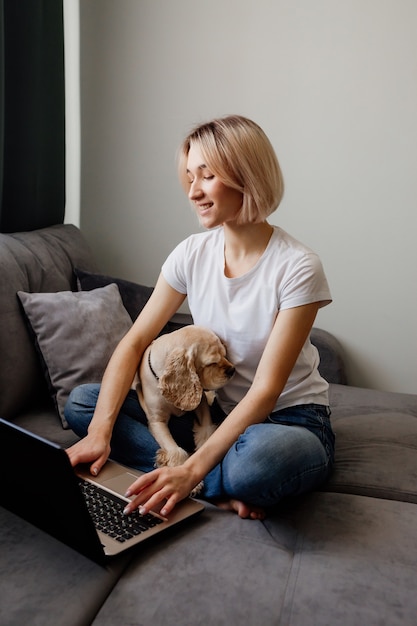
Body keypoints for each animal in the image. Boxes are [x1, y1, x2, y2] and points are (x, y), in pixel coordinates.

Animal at [135, 322, 236, 492]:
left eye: (224, 354)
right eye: (211, 363)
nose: (232, 370)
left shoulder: (200, 402)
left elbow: (207, 431)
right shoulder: (157, 421)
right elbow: (175, 450)